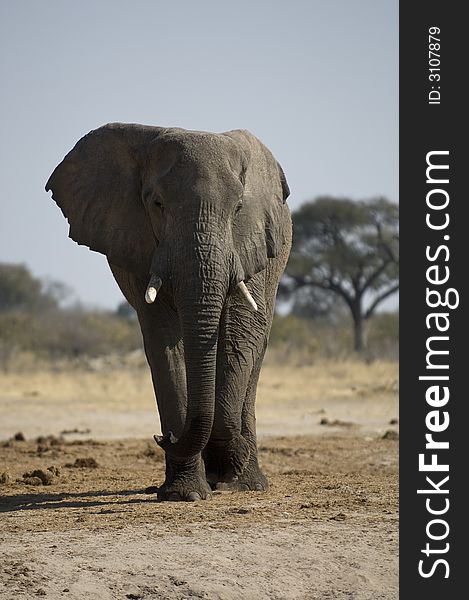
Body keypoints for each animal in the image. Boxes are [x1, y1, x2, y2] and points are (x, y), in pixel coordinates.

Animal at [46, 123, 288, 502]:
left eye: (238, 208)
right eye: (156, 204)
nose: (164, 437)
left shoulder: (252, 242)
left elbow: (239, 330)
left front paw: (230, 473)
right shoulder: (141, 248)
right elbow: (164, 342)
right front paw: (184, 494)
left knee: (256, 348)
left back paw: (246, 481)